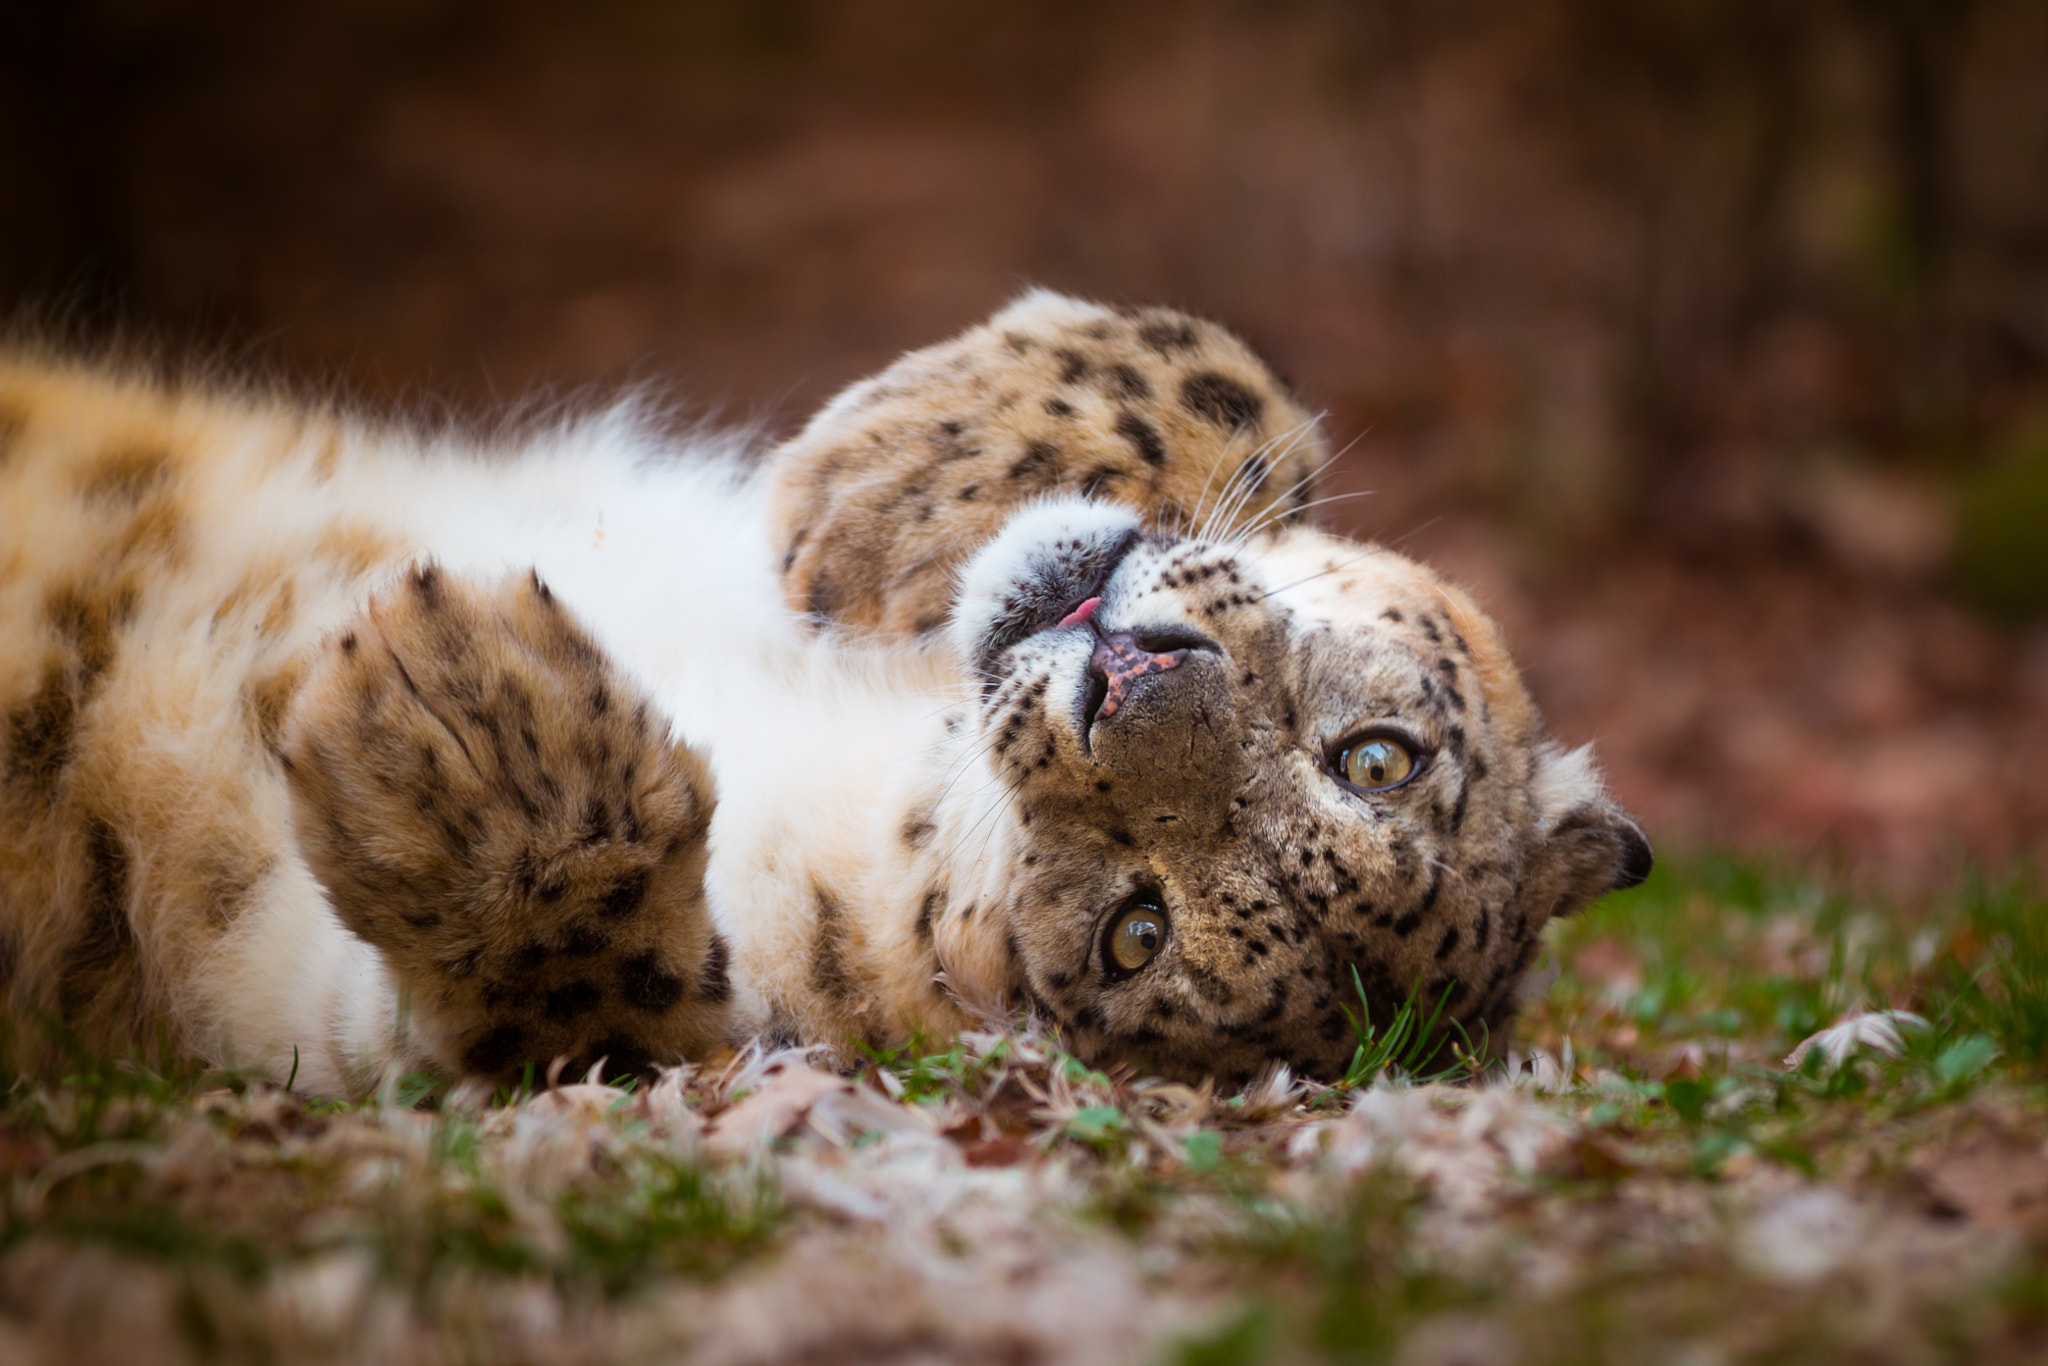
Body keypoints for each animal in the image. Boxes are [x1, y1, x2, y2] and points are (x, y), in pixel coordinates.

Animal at [0, 289, 1649, 1096]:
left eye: (1137, 931)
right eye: (1376, 755)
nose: (1126, 674)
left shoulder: (264, 971)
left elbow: (578, 1017)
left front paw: (485, 734)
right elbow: (1243, 382)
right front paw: (889, 483)